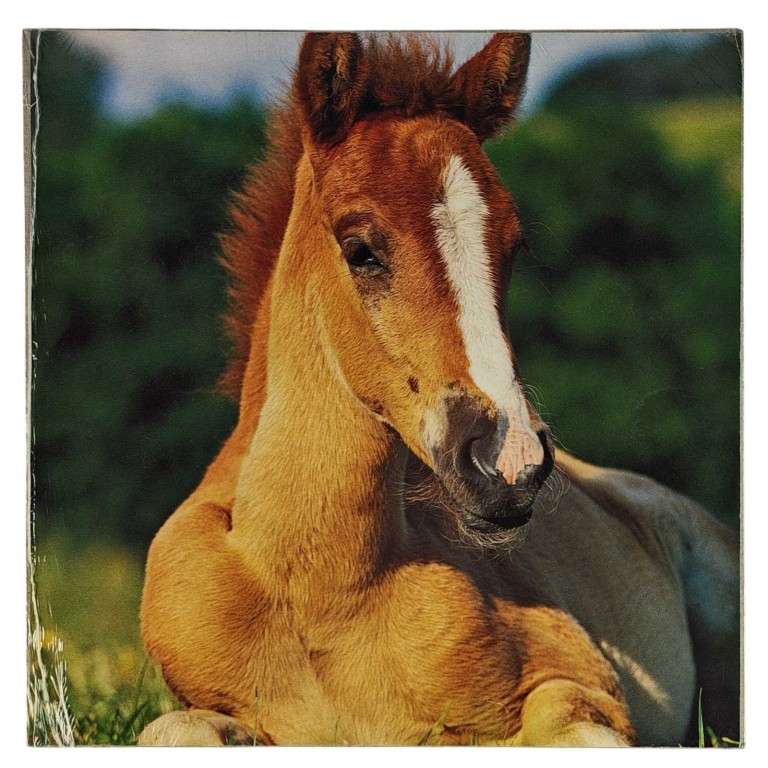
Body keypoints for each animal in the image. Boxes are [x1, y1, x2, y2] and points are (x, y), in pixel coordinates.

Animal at [138, 32, 740, 747]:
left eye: (514, 246)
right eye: (361, 248)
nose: (510, 462)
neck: (317, 589)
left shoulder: (580, 685)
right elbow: (175, 729)